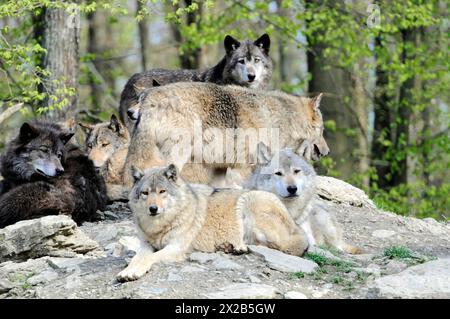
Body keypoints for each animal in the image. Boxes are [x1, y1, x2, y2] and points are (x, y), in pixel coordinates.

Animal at [123, 82, 330, 188]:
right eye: (322, 130)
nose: (327, 152)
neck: (280, 120)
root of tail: (150, 97)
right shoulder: (246, 166)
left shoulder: (220, 168)